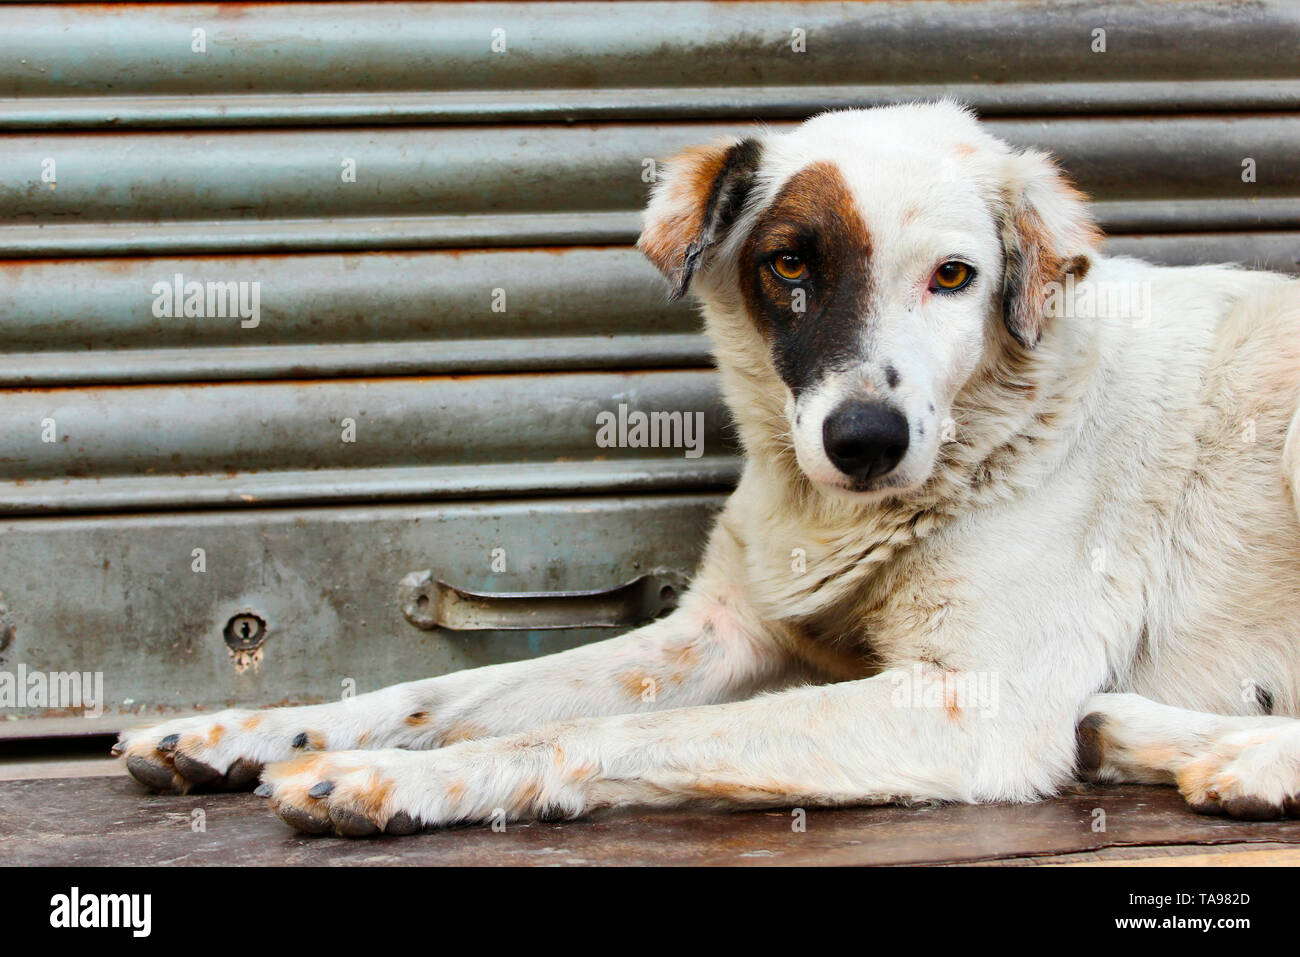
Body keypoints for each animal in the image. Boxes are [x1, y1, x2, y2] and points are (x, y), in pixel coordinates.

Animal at [114, 104, 1300, 832]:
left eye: (955, 278)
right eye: (789, 264)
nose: (865, 440)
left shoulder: (977, 705)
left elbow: (614, 728)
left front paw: (403, 780)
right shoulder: (718, 630)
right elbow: (444, 691)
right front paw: (233, 730)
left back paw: (1238, 762)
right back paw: (1135, 732)